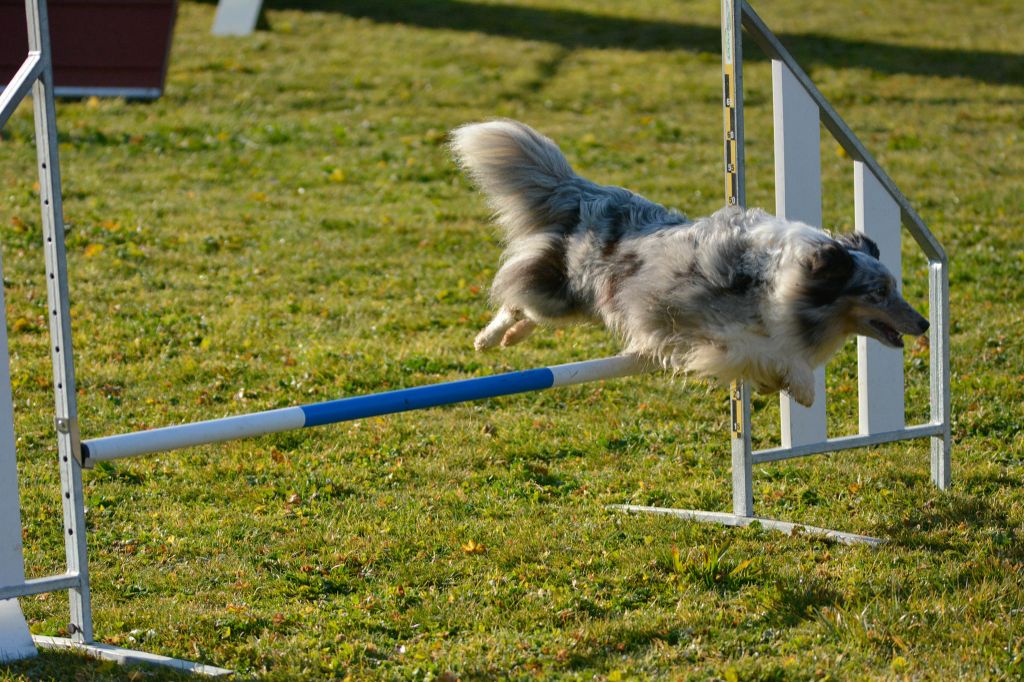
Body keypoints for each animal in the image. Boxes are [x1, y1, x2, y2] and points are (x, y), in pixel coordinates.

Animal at [448, 118, 929, 403]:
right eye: (878, 292)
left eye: (896, 288)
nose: (925, 323)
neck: (782, 281)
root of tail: (588, 192)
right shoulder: (713, 330)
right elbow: (767, 352)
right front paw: (801, 386)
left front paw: (787, 382)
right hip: (562, 294)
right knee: (517, 298)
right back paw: (489, 340)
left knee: (525, 307)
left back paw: (510, 338)